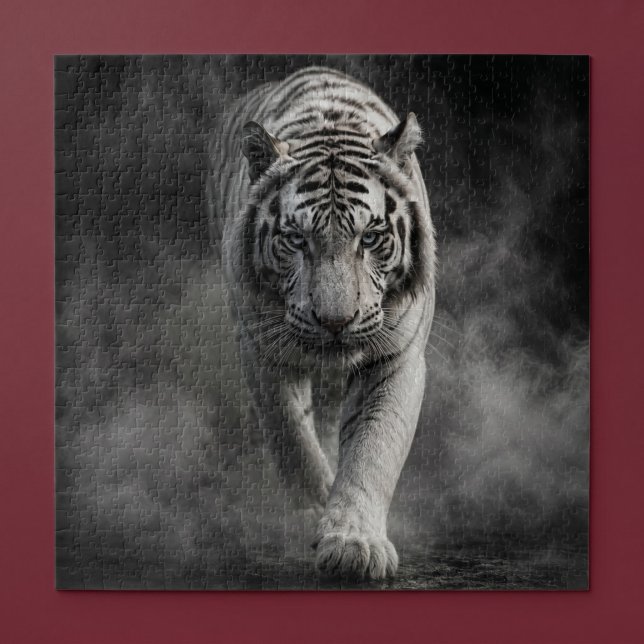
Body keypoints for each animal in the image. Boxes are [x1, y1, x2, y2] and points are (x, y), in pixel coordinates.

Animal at [207, 66, 436, 580]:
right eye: (296, 239)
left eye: (370, 237)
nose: (335, 321)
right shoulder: (262, 350)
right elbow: (292, 439)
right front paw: (312, 517)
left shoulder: (395, 357)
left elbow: (371, 448)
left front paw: (354, 541)